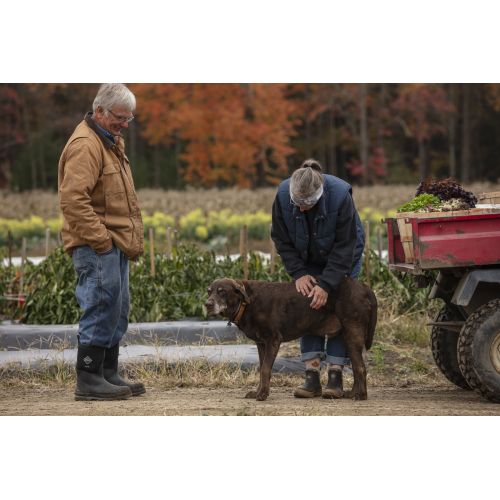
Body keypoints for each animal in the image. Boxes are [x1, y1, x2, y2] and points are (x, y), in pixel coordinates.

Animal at [205, 278, 376, 402]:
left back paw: (361, 396)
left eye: (222, 292)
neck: (246, 303)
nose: (207, 304)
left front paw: (263, 394)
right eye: (209, 291)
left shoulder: (273, 340)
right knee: (357, 367)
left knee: (360, 367)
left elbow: (265, 369)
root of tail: (365, 288)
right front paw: (258, 391)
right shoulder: (261, 344)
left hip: (353, 333)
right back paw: (352, 393)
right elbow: (261, 369)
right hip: (347, 337)